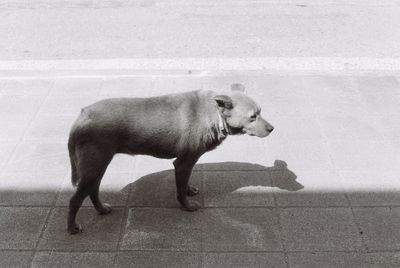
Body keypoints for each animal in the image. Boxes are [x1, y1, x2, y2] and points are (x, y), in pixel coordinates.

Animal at [67, 84, 274, 234]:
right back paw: (72, 227)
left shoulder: (187, 163)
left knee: (93, 191)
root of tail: (82, 116)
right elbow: (180, 190)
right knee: (75, 199)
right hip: (95, 165)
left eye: (261, 112)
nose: (272, 128)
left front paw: (190, 190)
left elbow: (185, 184)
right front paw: (187, 206)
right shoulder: (183, 162)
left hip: (97, 166)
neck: (214, 115)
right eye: (253, 117)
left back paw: (102, 209)